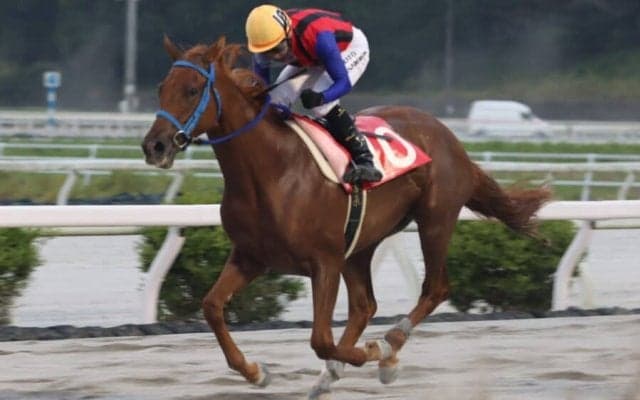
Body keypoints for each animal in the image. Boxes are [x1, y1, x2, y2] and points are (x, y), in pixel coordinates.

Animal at [142, 36, 550, 399]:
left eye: (192, 89)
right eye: (162, 88)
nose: (154, 146)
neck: (272, 171)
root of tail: (449, 137)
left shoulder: (324, 261)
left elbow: (320, 339)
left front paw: (375, 352)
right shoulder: (251, 257)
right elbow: (212, 307)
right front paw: (256, 372)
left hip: (435, 220)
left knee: (434, 288)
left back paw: (388, 347)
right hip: (360, 244)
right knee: (365, 305)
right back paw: (332, 376)